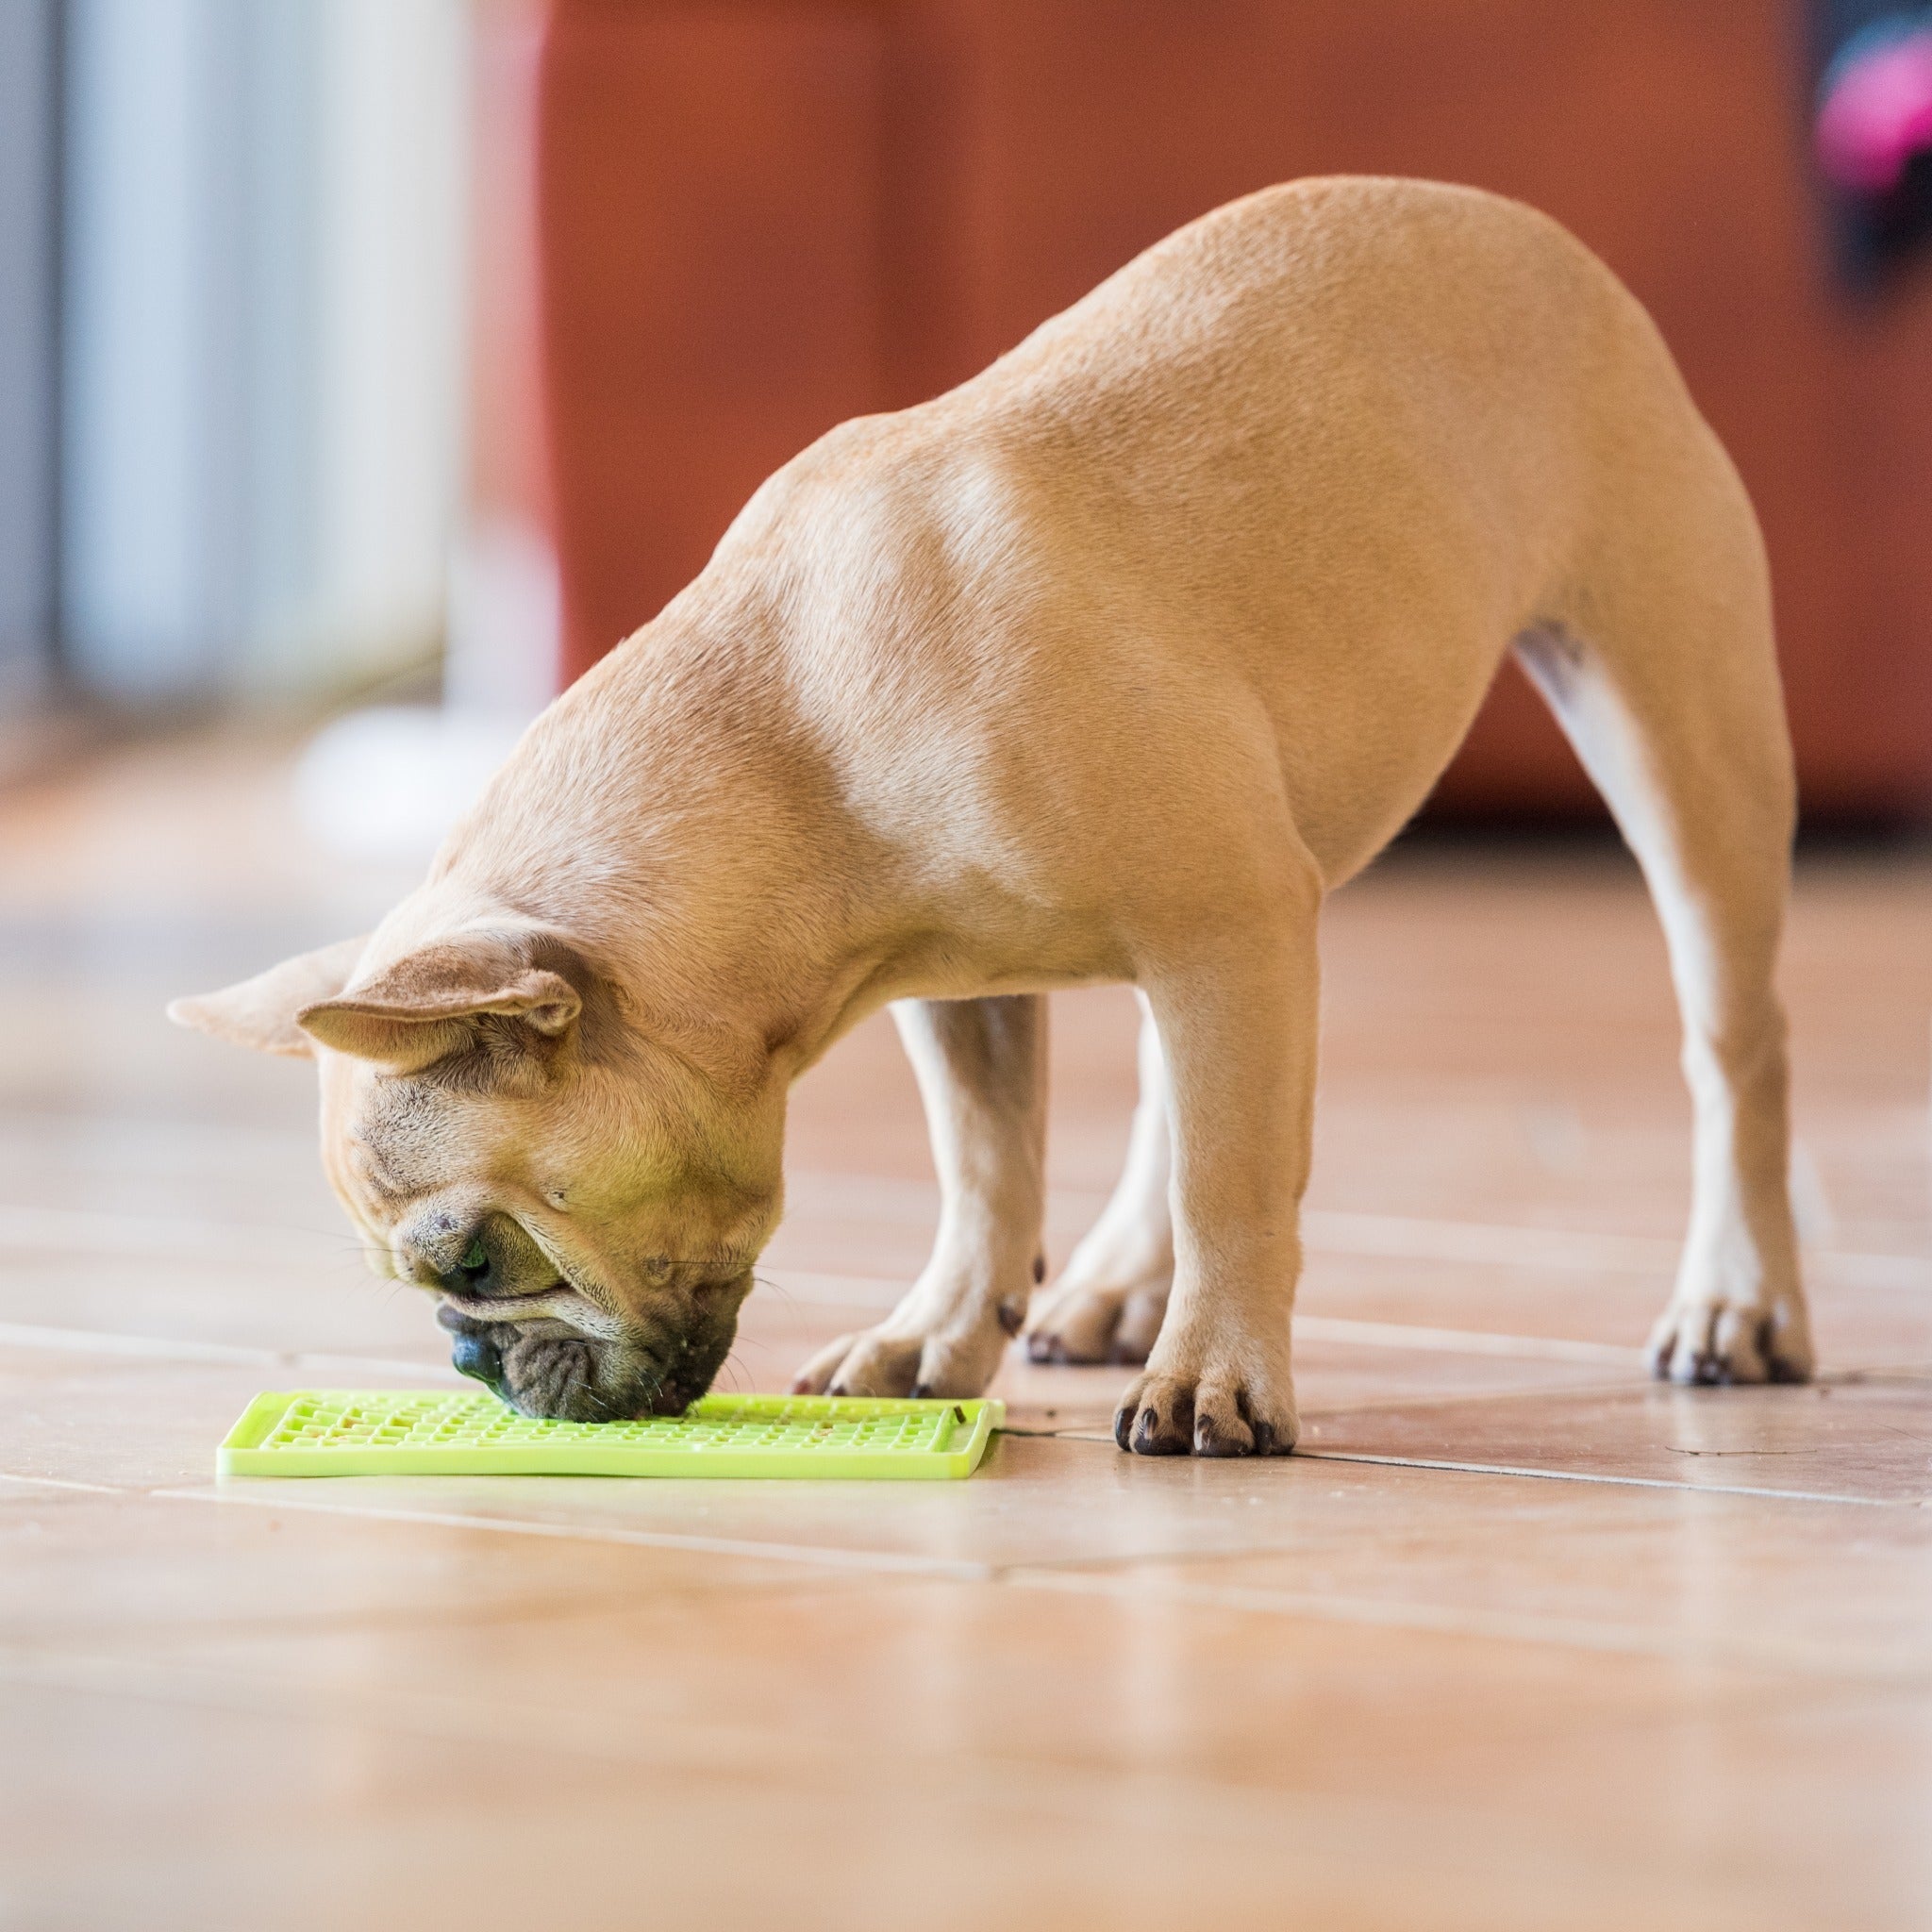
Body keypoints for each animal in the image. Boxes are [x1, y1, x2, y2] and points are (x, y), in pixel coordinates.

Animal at [174, 181, 1816, 1453]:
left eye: (478, 1259)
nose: (466, 1357)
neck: (793, 729)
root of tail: (1522, 228)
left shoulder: (1226, 919)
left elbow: (1235, 1174)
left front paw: (1218, 1377)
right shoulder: (988, 988)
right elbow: (987, 1169)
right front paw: (938, 1337)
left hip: (1674, 734)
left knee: (1732, 1048)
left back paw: (1739, 1304)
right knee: (1169, 1084)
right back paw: (1115, 1285)